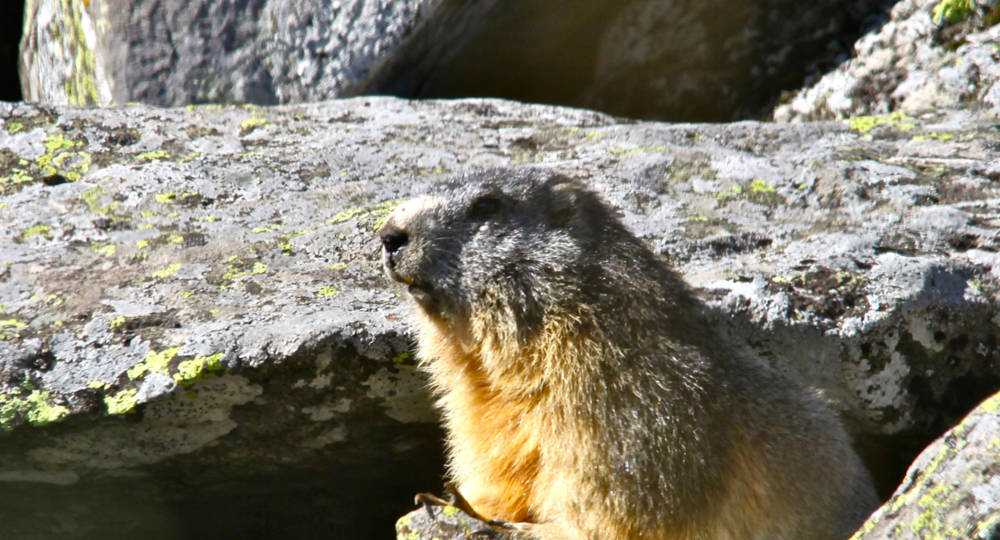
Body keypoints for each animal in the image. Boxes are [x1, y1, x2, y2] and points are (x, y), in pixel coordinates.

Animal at [380, 168, 878, 539]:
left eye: (486, 206)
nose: (388, 234)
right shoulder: (478, 411)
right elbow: (499, 466)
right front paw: (451, 499)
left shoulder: (621, 399)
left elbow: (617, 503)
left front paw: (498, 523)